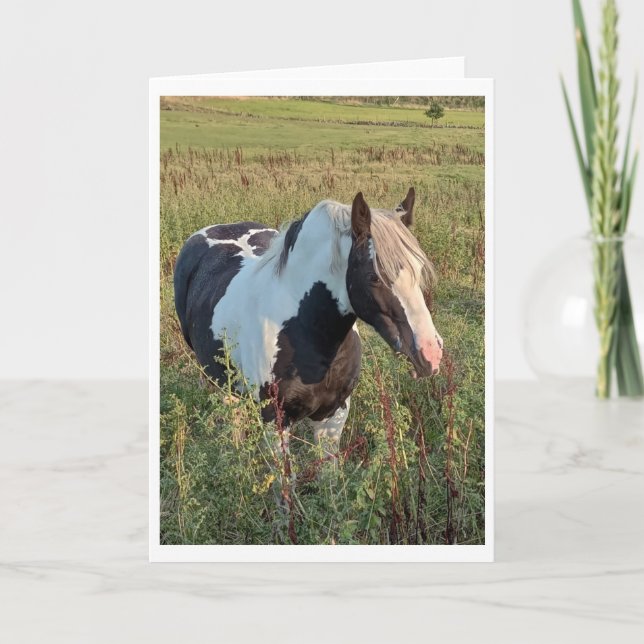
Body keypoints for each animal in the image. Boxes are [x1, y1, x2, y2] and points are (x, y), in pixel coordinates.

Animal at [173, 188, 443, 450]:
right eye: (374, 277)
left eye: (420, 269)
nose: (430, 353)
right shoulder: (275, 422)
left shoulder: (333, 416)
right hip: (220, 380)